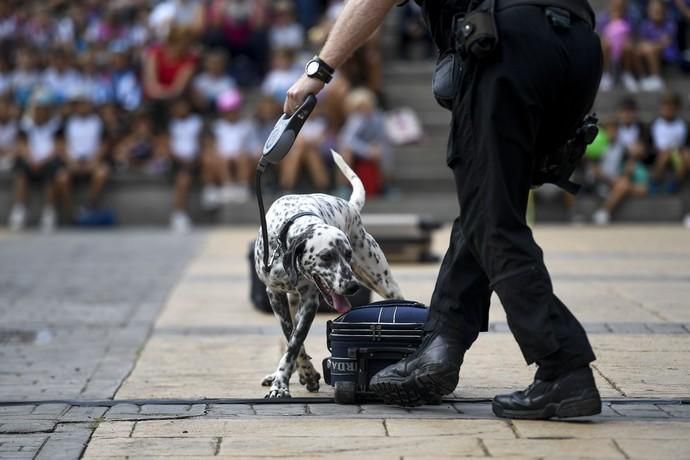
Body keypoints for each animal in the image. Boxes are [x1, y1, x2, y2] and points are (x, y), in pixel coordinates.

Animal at [254, 149, 404, 398]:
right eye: (326, 256)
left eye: (348, 254)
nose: (352, 287)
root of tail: (351, 207)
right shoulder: (275, 295)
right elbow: (292, 339)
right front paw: (298, 375)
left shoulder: (310, 300)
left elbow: (294, 343)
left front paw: (282, 383)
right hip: (292, 300)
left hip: (384, 282)